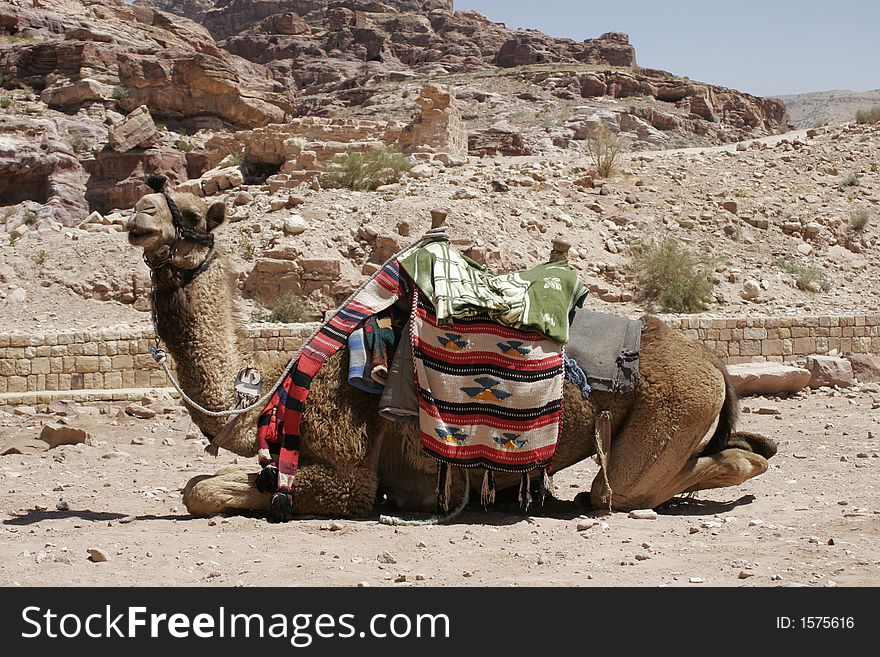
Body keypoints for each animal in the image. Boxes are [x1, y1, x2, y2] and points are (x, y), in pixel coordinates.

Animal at [125, 182, 776, 520]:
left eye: (190, 212)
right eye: (154, 198)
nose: (137, 216)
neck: (268, 397)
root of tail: (715, 365)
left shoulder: (350, 477)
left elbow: (202, 491)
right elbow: (199, 485)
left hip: (669, 413)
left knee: (623, 487)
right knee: (744, 451)